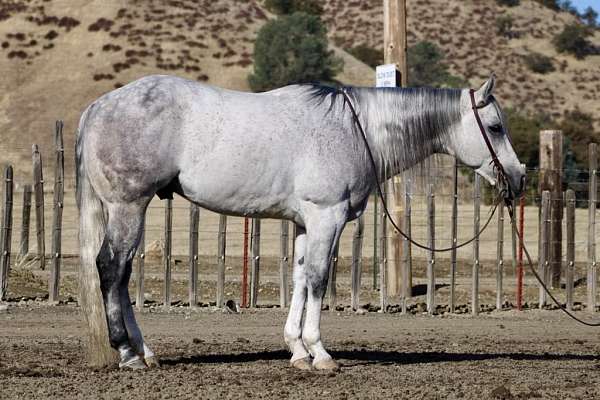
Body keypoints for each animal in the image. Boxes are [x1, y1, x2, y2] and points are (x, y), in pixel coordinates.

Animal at [76, 74, 524, 368]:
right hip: (128, 207)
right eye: (496, 127)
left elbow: (300, 278)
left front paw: (297, 350)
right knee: (111, 269)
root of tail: (96, 108)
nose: (518, 178)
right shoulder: (328, 216)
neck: (355, 128)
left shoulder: (306, 223)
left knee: (122, 274)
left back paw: (146, 352)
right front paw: (320, 352)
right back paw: (128, 353)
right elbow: (320, 279)